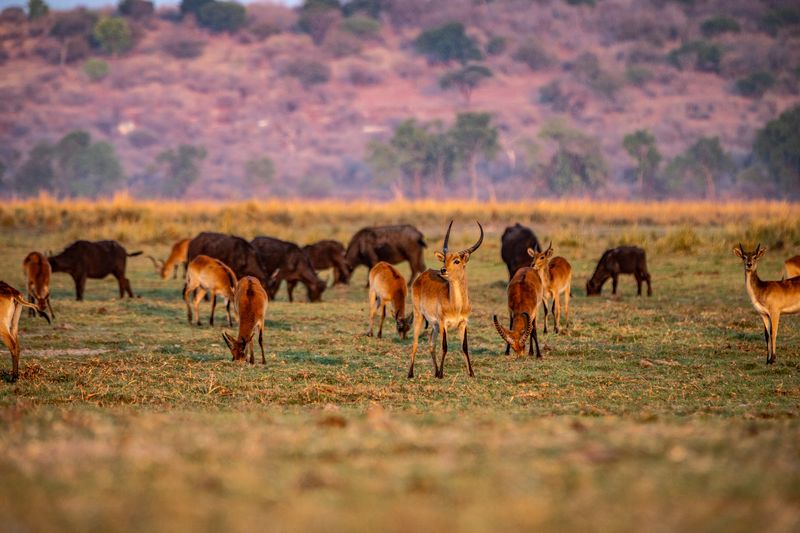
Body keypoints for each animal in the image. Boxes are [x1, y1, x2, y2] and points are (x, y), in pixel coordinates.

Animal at [406, 220, 482, 378]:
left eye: (457, 261)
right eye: (445, 259)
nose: (442, 270)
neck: (456, 306)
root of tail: (423, 274)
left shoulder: (463, 323)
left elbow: (464, 346)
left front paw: (471, 373)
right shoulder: (443, 323)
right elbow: (445, 346)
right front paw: (442, 373)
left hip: (434, 325)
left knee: (431, 343)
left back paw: (435, 372)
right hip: (419, 315)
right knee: (415, 342)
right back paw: (411, 373)